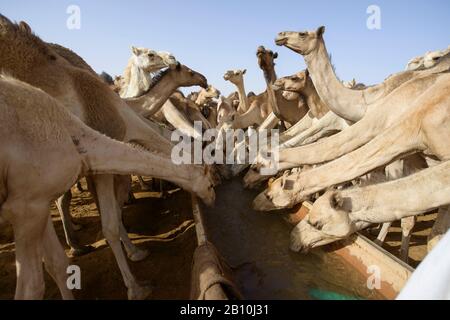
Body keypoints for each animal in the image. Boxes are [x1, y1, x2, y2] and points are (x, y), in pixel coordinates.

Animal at [0, 16, 216, 298]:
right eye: (187, 70)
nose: (204, 79)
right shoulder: (92, 167)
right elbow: (110, 221)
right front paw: (136, 278)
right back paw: (78, 245)